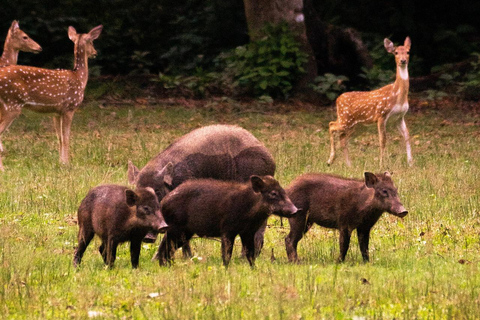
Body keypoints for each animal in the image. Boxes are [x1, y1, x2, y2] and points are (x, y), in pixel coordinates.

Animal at [0, 25, 102, 170]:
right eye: (92, 42)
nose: (95, 52)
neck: (79, 77)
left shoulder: (56, 112)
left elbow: (59, 137)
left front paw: (61, 162)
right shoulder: (69, 107)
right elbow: (66, 137)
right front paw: (67, 163)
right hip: (12, 104)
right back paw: (3, 169)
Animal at [328, 37, 414, 168]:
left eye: (408, 52)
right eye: (396, 52)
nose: (403, 60)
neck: (397, 95)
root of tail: (338, 99)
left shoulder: (400, 117)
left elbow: (407, 136)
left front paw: (410, 163)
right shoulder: (381, 114)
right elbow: (383, 140)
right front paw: (382, 165)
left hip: (355, 124)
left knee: (342, 138)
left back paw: (349, 165)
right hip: (345, 119)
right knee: (331, 125)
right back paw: (330, 160)